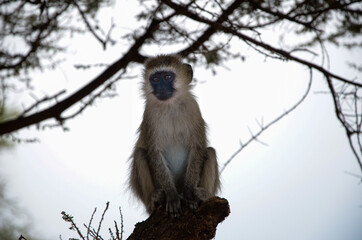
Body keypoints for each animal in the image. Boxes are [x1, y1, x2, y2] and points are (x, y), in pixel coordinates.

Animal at [130, 54, 221, 218]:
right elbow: (154, 152)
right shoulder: (149, 114)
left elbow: (197, 147)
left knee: (210, 151)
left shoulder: (194, 109)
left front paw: (189, 193)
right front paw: (171, 195)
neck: (170, 105)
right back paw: (155, 199)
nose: (161, 88)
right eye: (155, 79)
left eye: (167, 77)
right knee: (140, 154)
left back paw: (203, 195)